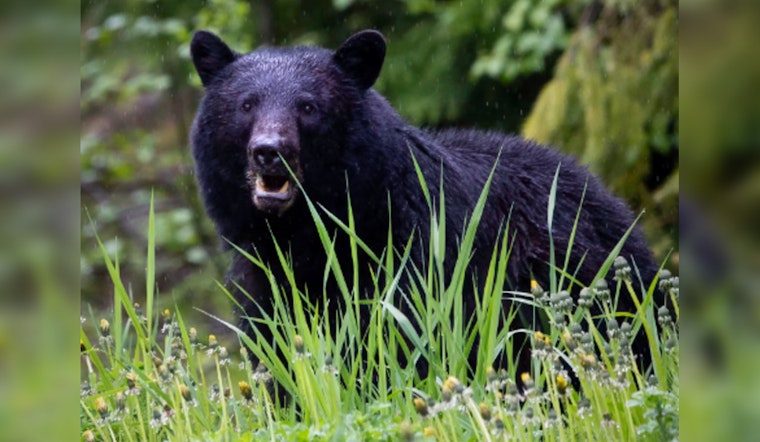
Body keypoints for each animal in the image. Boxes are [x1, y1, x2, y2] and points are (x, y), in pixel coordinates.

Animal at [189, 29, 662, 385]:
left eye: (308, 106)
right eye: (246, 104)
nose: (269, 151)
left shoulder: (418, 256)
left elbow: (400, 343)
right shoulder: (262, 278)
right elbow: (280, 352)